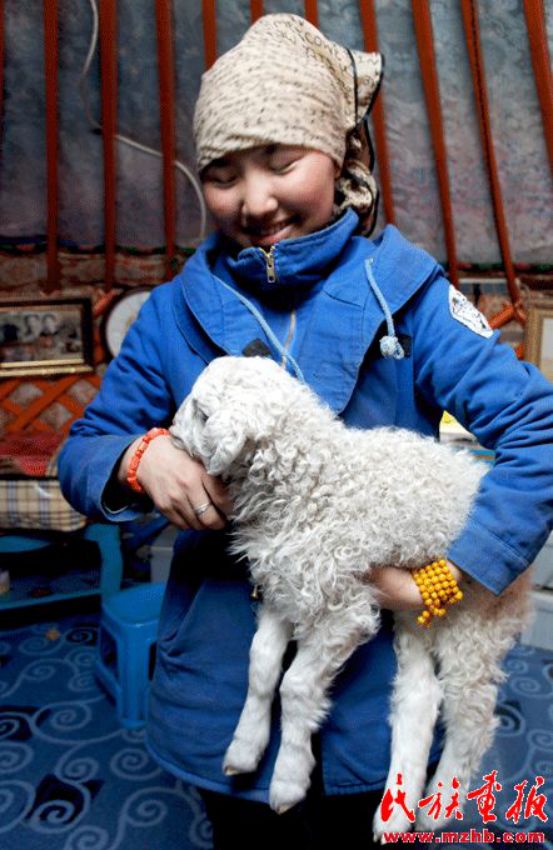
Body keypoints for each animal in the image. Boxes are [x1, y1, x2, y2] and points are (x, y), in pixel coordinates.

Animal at [169, 354, 532, 836]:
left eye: (201, 412)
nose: (170, 429)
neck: (312, 481)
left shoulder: (343, 608)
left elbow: (296, 686)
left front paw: (288, 779)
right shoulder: (287, 586)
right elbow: (261, 666)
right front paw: (244, 749)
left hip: (474, 619)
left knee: (472, 715)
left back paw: (438, 805)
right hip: (415, 614)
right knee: (419, 697)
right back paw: (395, 815)